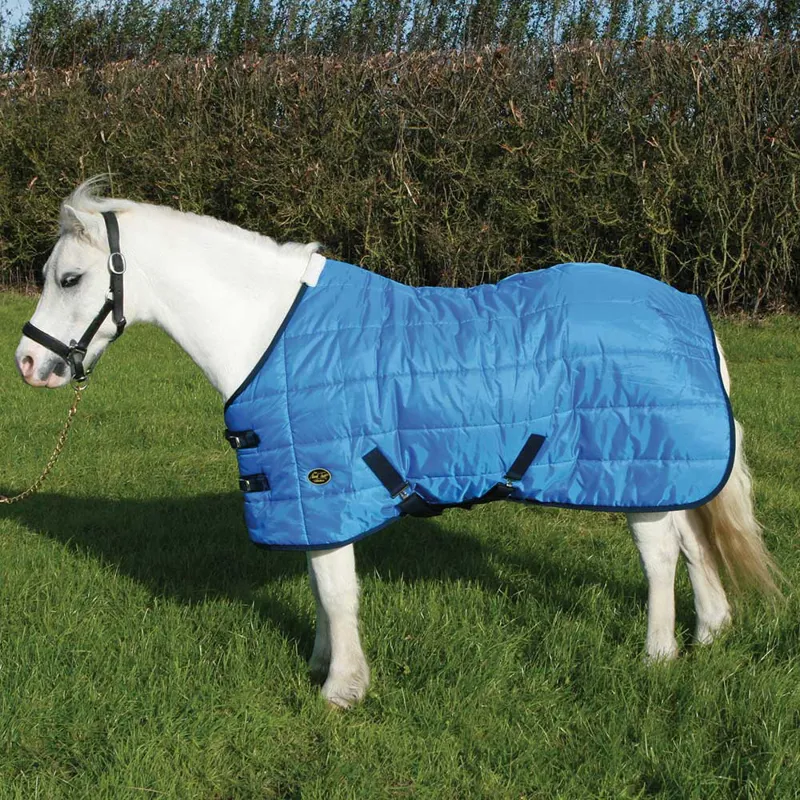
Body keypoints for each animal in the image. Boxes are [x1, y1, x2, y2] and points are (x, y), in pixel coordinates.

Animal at [14, 180, 780, 709]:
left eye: (71, 278)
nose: (29, 364)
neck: (271, 332)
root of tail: (688, 316)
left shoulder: (324, 484)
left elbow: (336, 591)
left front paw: (342, 690)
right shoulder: (311, 501)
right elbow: (320, 589)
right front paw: (323, 665)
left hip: (636, 472)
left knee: (660, 557)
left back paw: (657, 656)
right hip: (668, 467)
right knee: (693, 541)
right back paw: (710, 632)